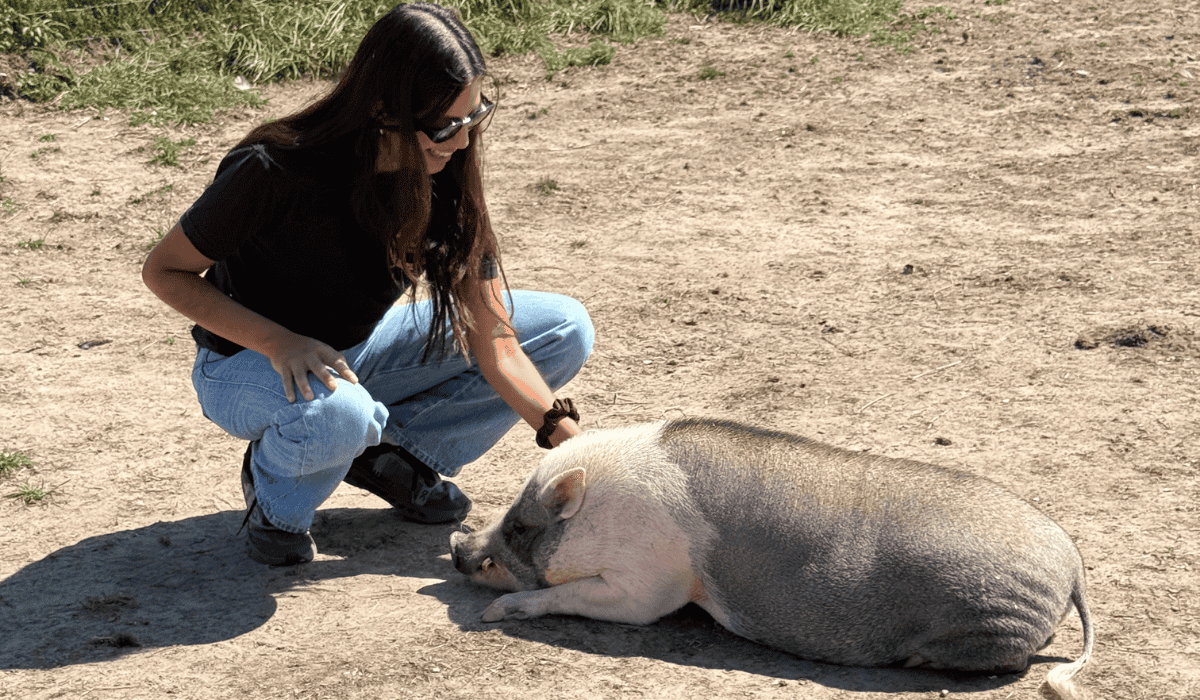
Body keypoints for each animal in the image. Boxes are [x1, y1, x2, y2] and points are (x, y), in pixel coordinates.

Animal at [450, 418, 1094, 700]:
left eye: (520, 527)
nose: (457, 547)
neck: (599, 510)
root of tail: (1072, 565)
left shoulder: (647, 590)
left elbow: (567, 594)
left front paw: (494, 614)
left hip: (993, 622)